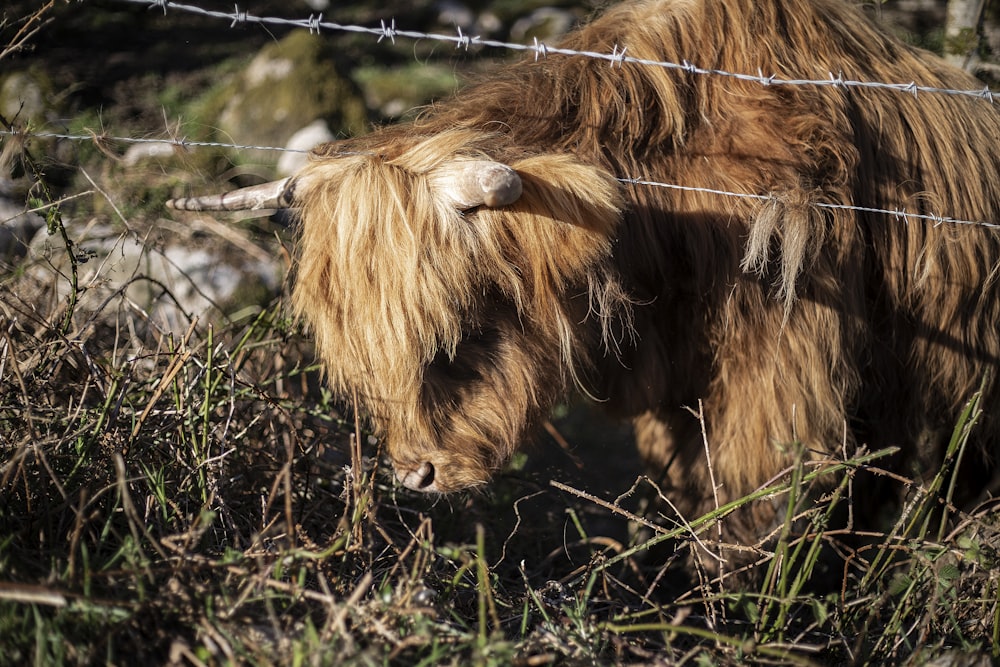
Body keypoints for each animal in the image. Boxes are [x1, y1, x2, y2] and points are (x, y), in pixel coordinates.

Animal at [168, 0, 1000, 564]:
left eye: (460, 333)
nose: (415, 474)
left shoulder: (780, 366)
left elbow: (753, 500)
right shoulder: (678, 390)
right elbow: (688, 481)